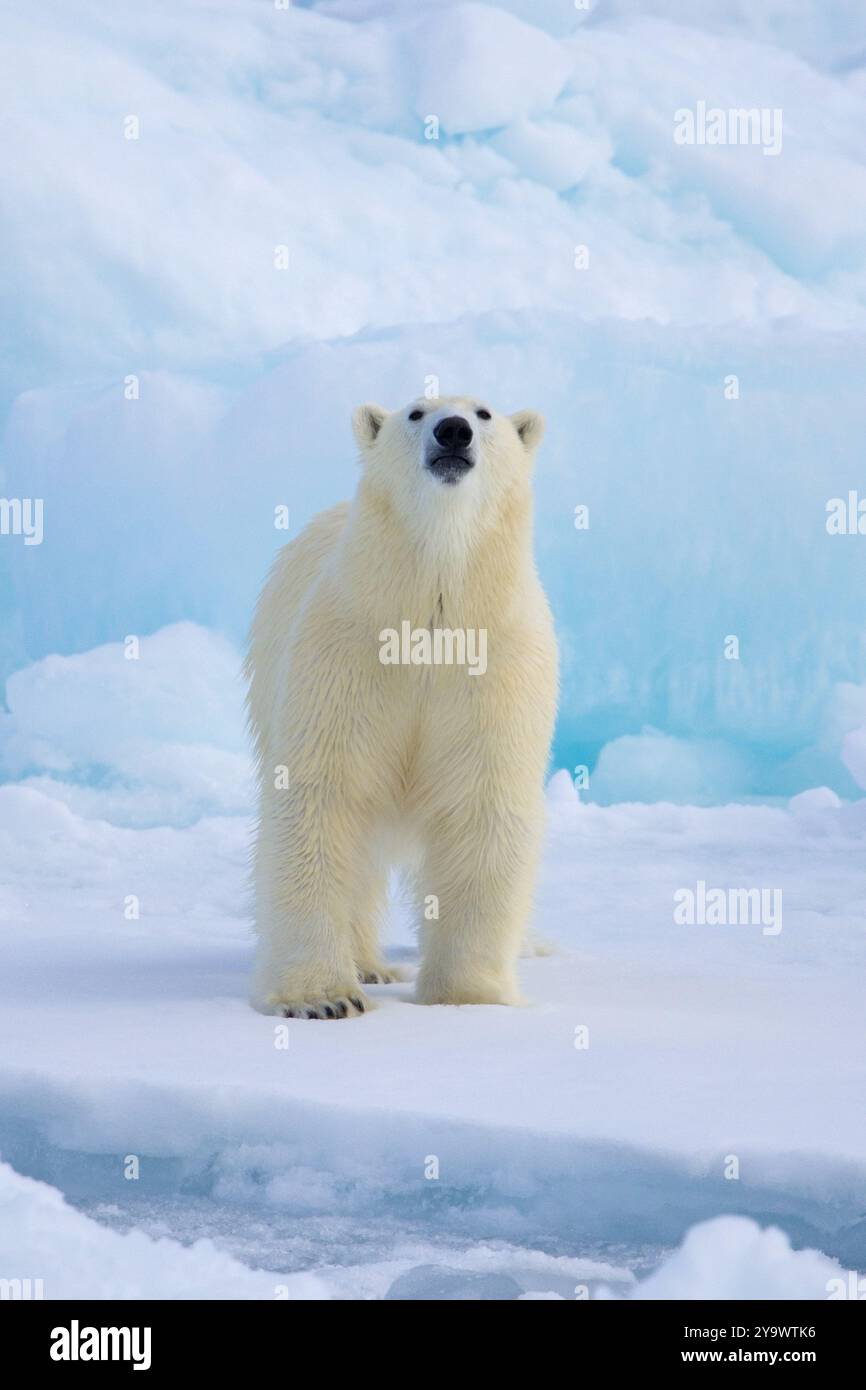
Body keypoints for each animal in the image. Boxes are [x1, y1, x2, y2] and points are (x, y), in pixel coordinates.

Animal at [246, 397, 556, 1017]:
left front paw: (467, 995)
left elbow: (484, 807)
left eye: (484, 412)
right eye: (416, 412)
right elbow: (322, 796)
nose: (453, 431)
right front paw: (322, 998)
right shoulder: (345, 654)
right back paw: (368, 963)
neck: (429, 617)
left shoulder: (497, 667)